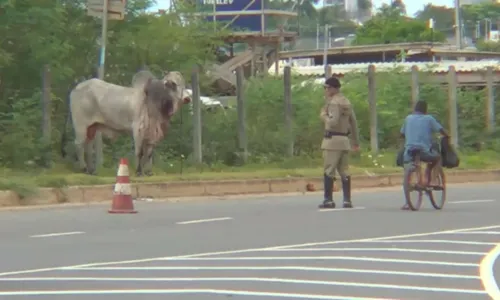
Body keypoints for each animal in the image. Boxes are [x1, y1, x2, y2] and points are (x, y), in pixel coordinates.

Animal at [60, 71, 189, 176]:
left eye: (183, 84)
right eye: (173, 84)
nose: (187, 98)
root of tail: (76, 88)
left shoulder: (152, 133)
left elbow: (149, 153)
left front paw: (148, 172)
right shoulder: (138, 129)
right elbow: (140, 152)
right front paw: (138, 172)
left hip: (92, 127)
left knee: (88, 146)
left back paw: (91, 170)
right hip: (80, 125)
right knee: (79, 144)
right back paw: (83, 168)